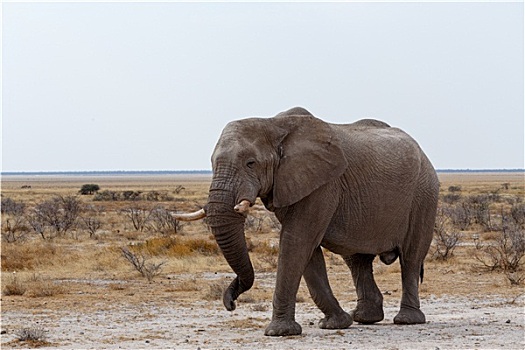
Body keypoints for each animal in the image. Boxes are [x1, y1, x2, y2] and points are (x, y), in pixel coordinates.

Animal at [175, 106, 438, 336]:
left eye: (251, 163)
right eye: (212, 163)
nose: (231, 304)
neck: (273, 123)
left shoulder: (323, 185)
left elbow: (297, 241)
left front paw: (279, 332)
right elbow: (308, 250)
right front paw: (335, 324)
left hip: (424, 194)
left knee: (411, 257)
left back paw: (407, 320)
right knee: (356, 260)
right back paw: (364, 318)